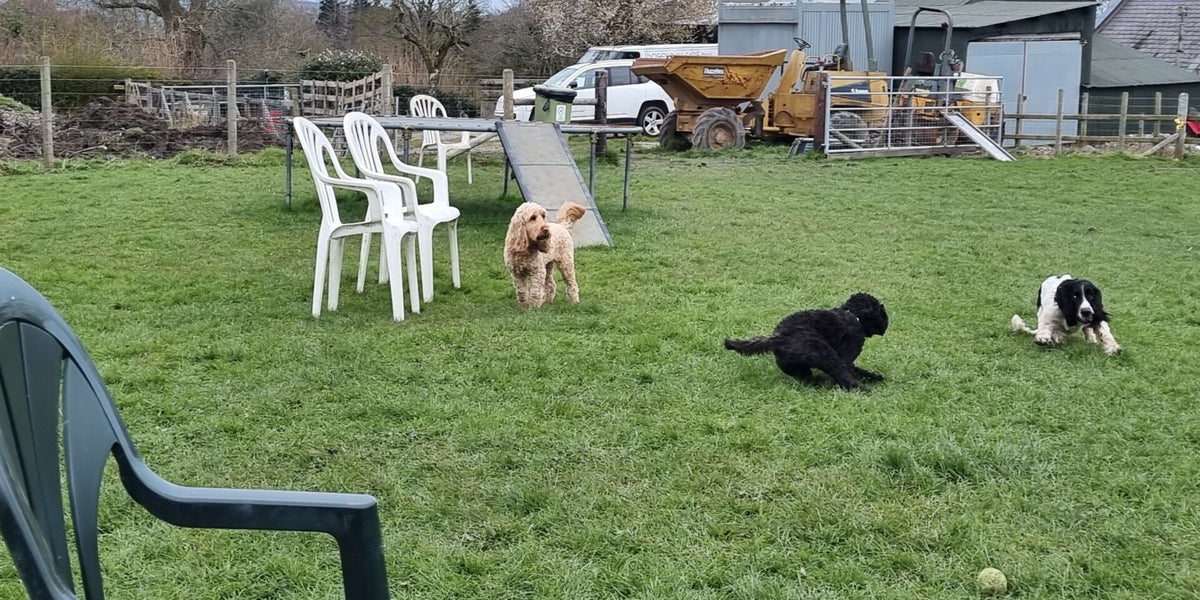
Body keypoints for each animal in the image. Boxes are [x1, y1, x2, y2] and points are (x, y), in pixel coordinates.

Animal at [725, 293, 889, 390]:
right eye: (880, 310)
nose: (887, 320)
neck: (854, 316)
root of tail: (779, 337)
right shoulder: (848, 354)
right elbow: (852, 369)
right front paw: (872, 377)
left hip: (793, 365)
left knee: (805, 377)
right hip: (825, 354)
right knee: (841, 374)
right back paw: (862, 389)